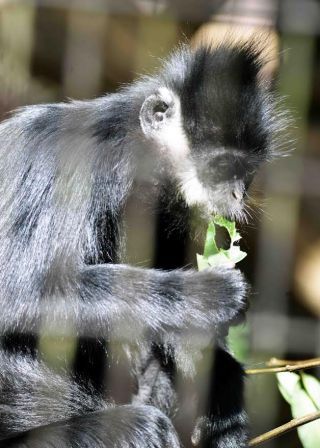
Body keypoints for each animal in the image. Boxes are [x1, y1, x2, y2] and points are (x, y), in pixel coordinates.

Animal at [0, 42, 284, 448]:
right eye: (221, 167)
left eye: (246, 174)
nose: (237, 193)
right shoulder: (76, 161)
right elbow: (17, 292)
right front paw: (211, 295)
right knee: (144, 426)